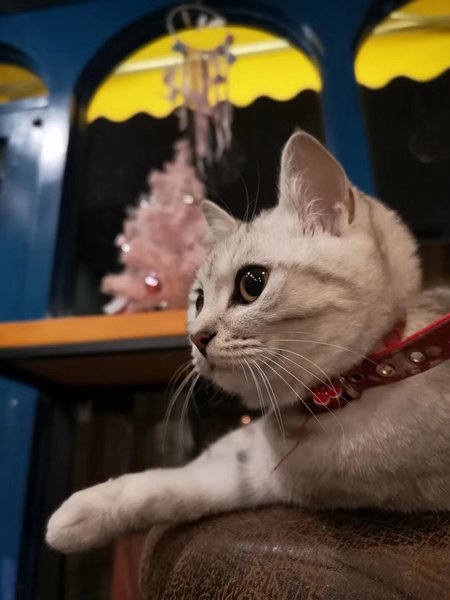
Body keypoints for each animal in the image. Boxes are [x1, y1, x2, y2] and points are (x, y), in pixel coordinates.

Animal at [47, 131, 450, 553]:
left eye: (252, 284)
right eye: (199, 300)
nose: (197, 337)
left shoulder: (283, 478)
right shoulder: (256, 462)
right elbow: (177, 478)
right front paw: (82, 511)